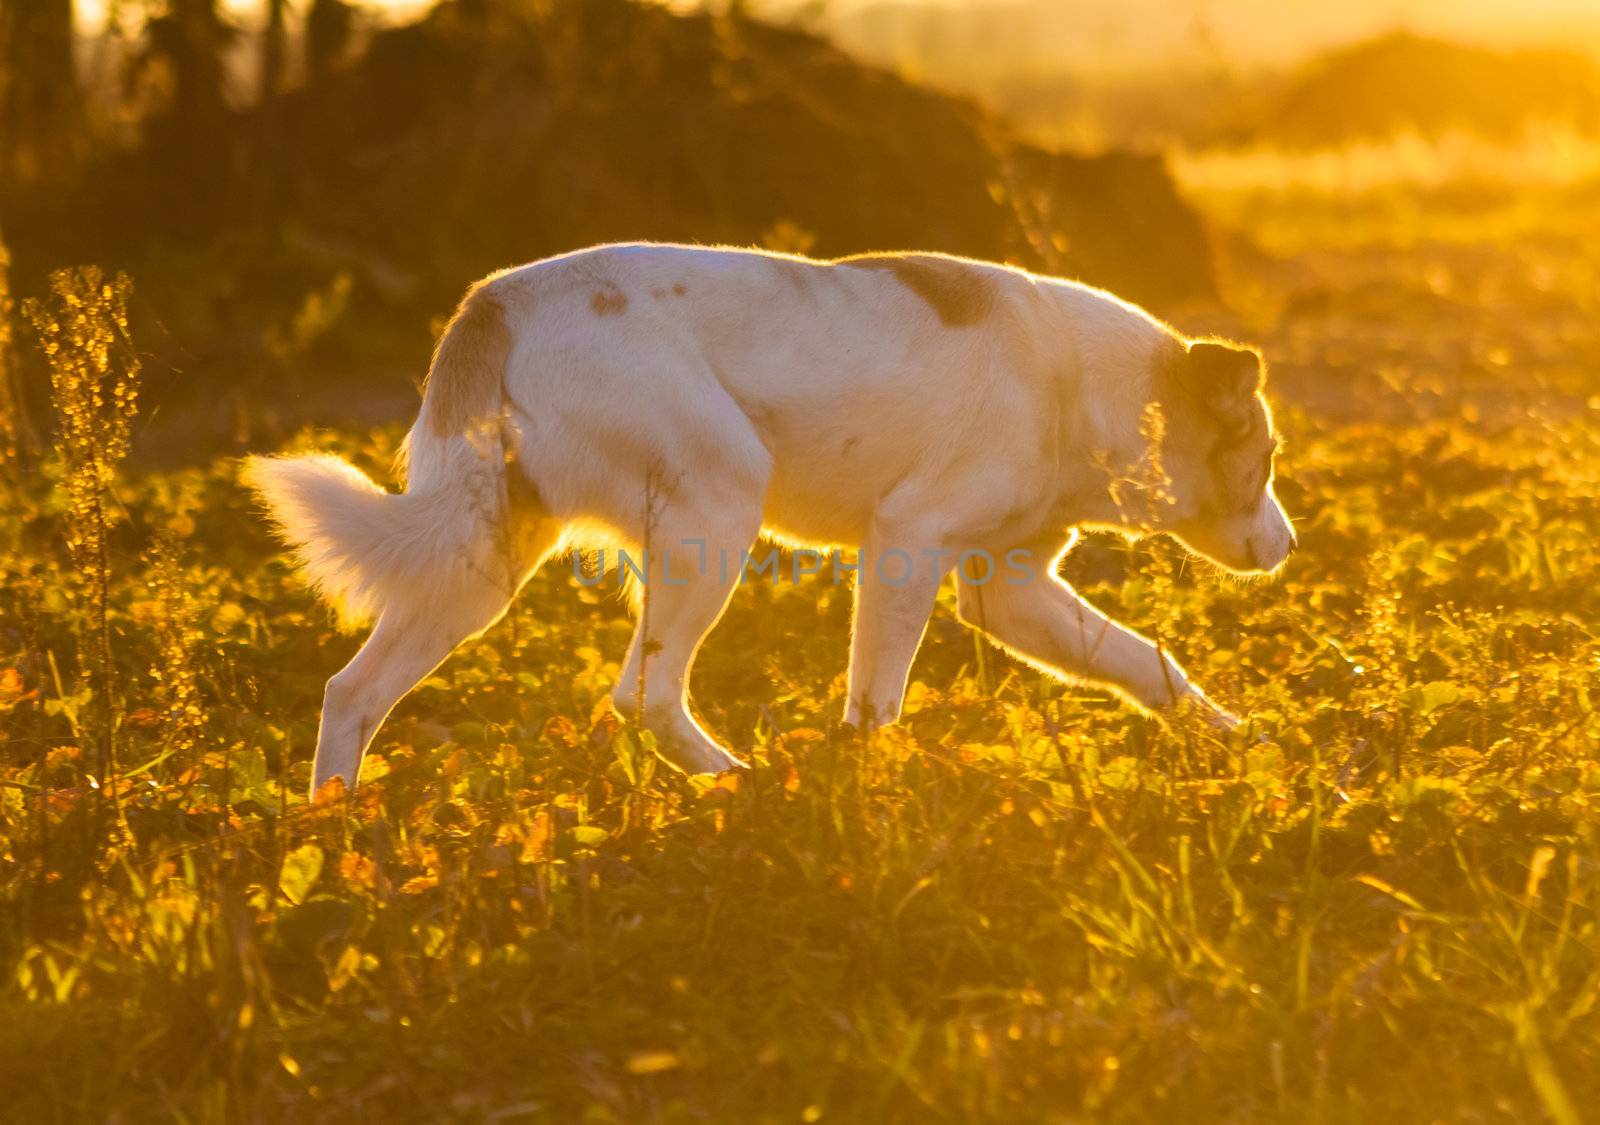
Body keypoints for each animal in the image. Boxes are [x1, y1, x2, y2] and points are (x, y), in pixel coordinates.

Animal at [249, 241, 1299, 796]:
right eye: (1264, 459)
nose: (1291, 549)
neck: (1084, 384)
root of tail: (496, 298)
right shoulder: (907, 545)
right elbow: (876, 703)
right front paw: (868, 791)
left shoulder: (1012, 594)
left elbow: (1150, 664)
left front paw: (1238, 740)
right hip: (716, 510)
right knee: (639, 697)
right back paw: (739, 787)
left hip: (477, 566)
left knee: (353, 691)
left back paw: (337, 827)